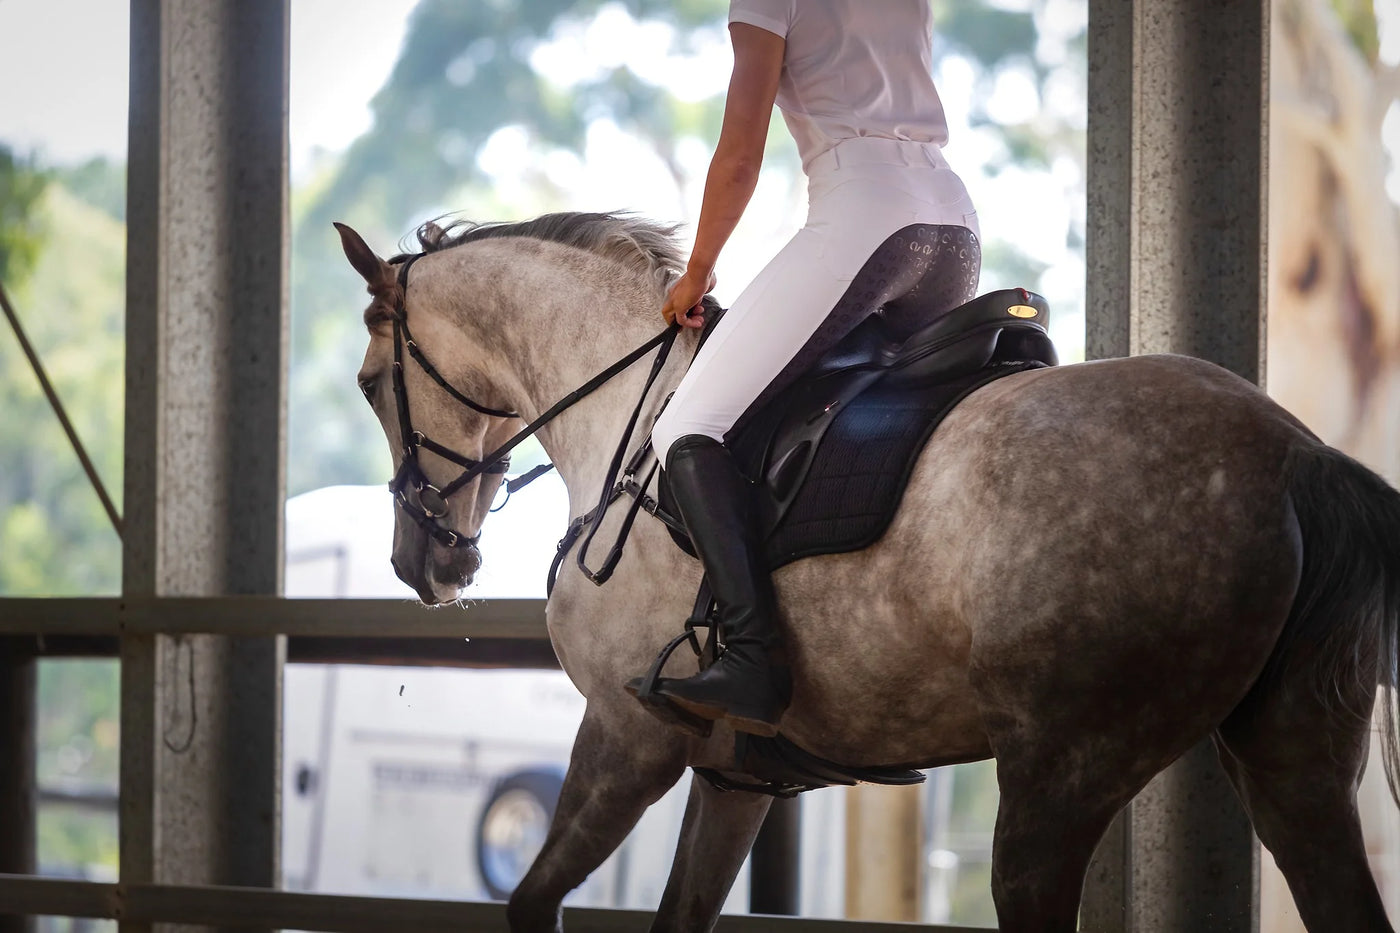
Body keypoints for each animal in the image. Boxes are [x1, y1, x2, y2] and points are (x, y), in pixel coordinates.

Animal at [336, 214, 1400, 924]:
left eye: (367, 383)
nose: (423, 560)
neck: (627, 418)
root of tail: (1292, 451)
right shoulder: (735, 776)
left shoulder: (629, 736)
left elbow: (531, 900)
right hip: (1295, 764)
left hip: (1060, 778)